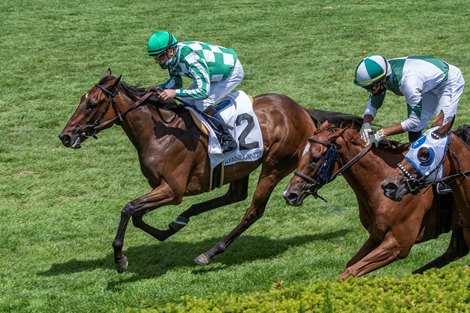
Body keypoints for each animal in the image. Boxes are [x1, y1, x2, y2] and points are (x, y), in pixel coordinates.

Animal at [58, 67, 364, 270]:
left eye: (92, 104)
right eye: (81, 100)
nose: (65, 136)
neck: (157, 134)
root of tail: (302, 111)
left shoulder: (172, 190)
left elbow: (129, 208)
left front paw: (120, 258)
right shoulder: (162, 189)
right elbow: (136, 215)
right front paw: (166, 231)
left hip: (276, 164)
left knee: (253, 210)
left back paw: (209, 252)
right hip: (242, 166)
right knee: (234, 195)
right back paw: (183, 219)